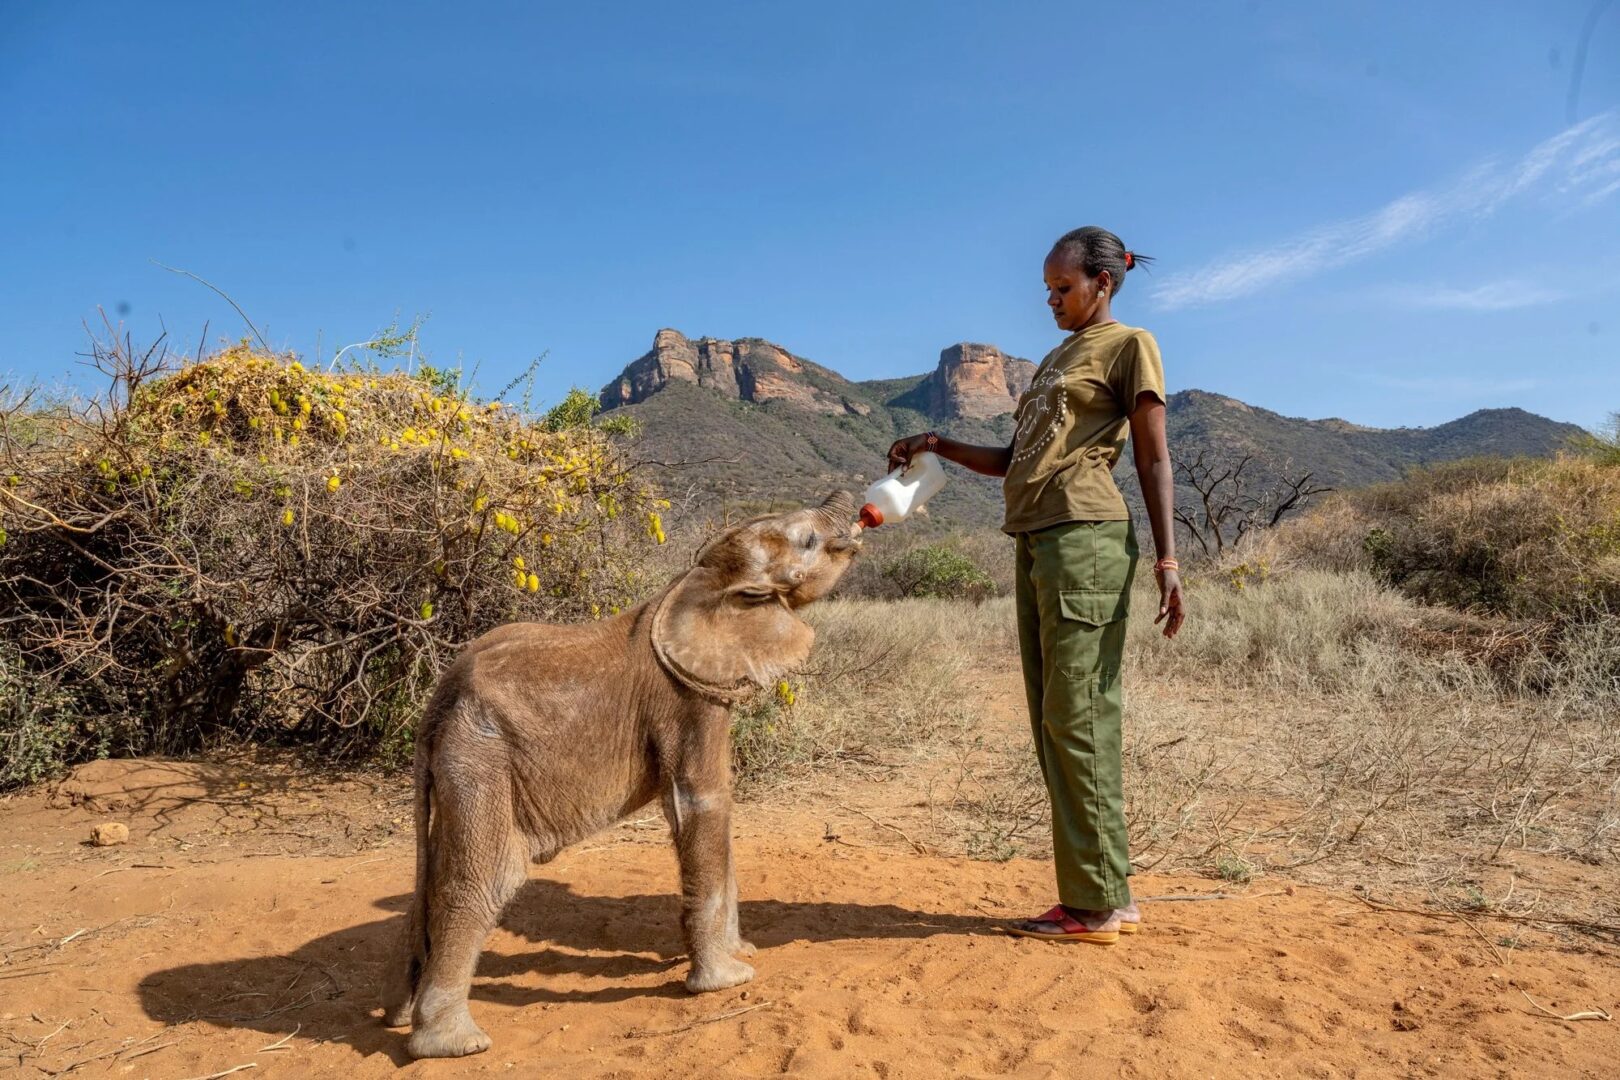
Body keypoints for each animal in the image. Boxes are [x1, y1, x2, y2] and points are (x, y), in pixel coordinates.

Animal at [380, 491, 863, 1058]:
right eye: (807, 541)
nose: (861, 508)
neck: (699, 579)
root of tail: (439, 699)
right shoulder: (685, 697)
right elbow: (704, 802)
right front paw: (729, 981)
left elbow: (697, 814)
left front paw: (743, 952)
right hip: (480, 757)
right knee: (481, 880)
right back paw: (455, 1046)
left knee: (434, 872)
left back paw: (401, 1017)